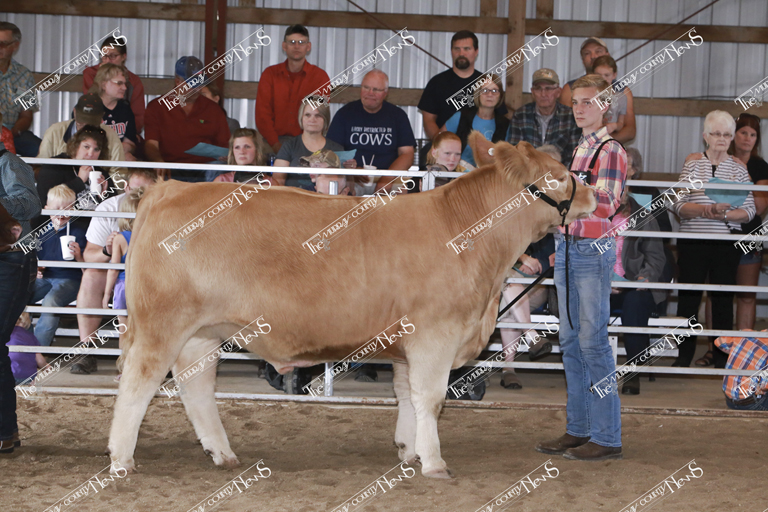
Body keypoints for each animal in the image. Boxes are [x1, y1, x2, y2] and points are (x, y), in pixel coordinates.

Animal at [107, 132, 597, 479]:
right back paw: (121, 459)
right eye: (557, 175)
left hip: (203, 332)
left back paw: (222, 453)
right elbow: (431, 397)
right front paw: (434, 462)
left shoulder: (407, 343)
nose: (594, 196)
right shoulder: (435, 334)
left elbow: (407, 396)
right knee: (138, 383)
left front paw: (409, 451)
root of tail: (168, 189)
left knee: (196, 386)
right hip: (162, 324)